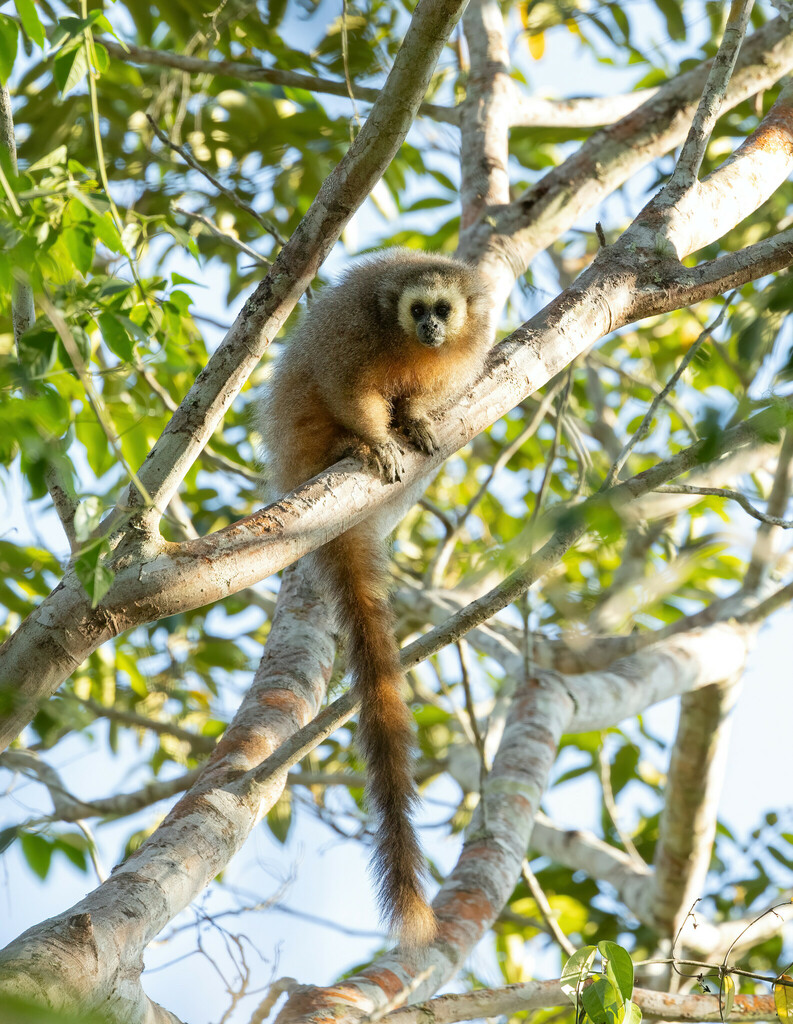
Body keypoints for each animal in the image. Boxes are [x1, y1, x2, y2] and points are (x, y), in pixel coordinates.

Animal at [260, 249, 493, 946]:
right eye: (419, 310)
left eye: (443, 311)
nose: (433, 330)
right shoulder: (351, 334)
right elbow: (341, 384)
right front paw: (378, 439)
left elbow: (427, 397)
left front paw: (413, 419)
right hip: (299, 443)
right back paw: (350, 447)